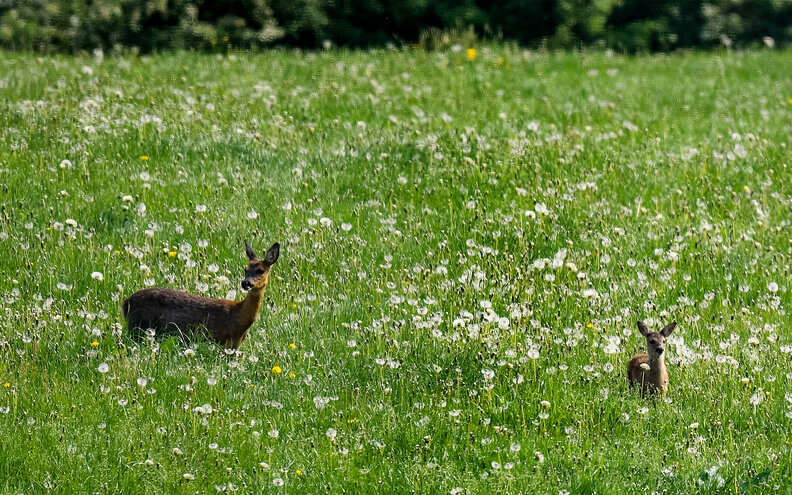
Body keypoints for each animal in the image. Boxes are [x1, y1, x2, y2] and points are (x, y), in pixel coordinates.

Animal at [122, 240, 280, 349]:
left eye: (260, 270)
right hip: (139, 325)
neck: (239, 318)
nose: (246, 283)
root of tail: (125, 302)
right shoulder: (222, 341)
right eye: (245, 269)